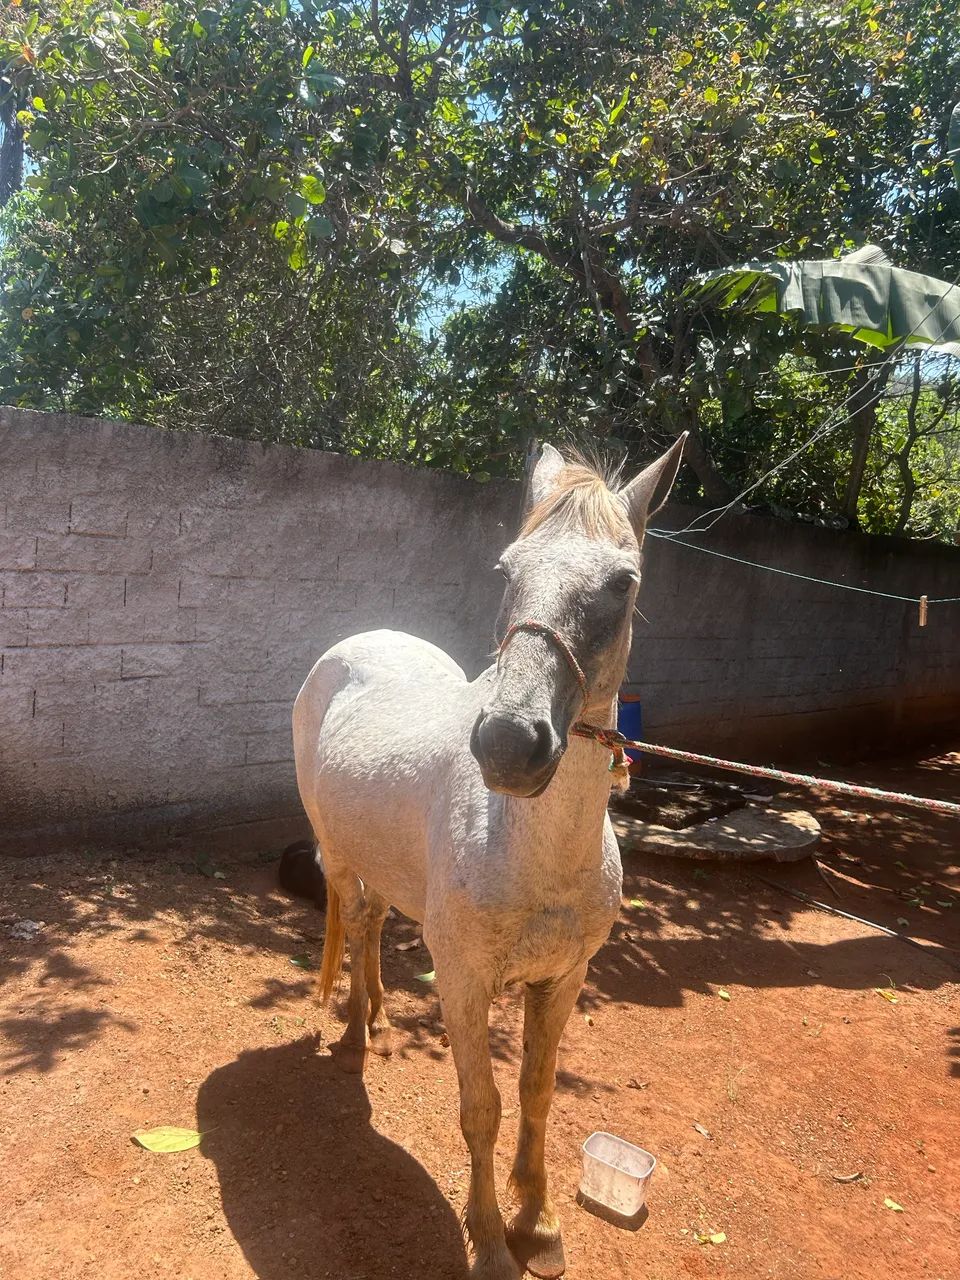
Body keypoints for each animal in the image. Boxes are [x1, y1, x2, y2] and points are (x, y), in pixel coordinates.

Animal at [292, 436, 686, 1280]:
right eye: (507, 570)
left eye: (623, 582)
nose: (509, 743)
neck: (538, 857)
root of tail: (359, 643)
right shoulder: (465, 982)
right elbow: (483, 1109)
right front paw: (492, 1243)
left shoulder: (563, 979)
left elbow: (537, 1094)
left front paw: (537, 1221)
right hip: (336, 854)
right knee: (353, 914)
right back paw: (353, 1027)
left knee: (372, 921)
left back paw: (373, 1015)